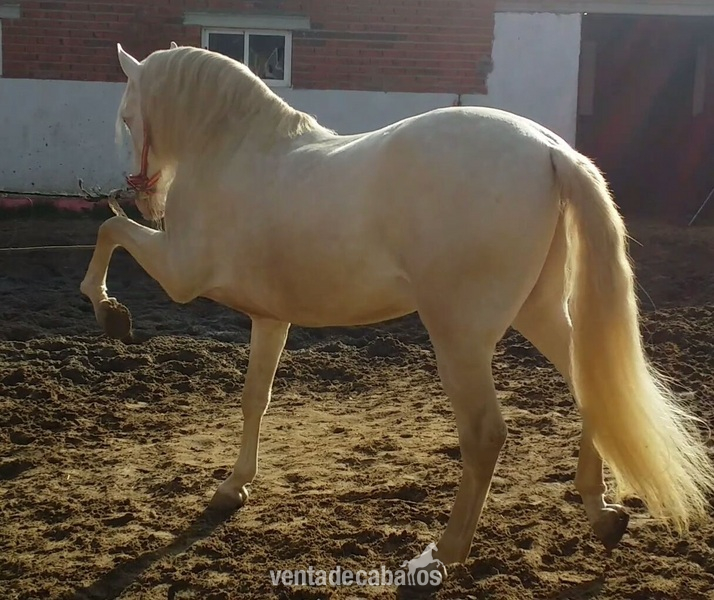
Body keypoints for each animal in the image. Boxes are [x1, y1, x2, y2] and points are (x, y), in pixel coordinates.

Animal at [80, 41, 714, 578]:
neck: (236, 151)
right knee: (590, 392)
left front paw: (110, 312)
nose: (144, 196)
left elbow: (111, 232)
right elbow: (255, 398)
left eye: (128, 117)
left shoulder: (181, 275)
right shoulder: (269, 317)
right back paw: (602, 514)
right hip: (538, 314)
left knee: (485, 434)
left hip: (459, 338)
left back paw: (445, 552)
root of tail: (550, 151)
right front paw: (233, 488)